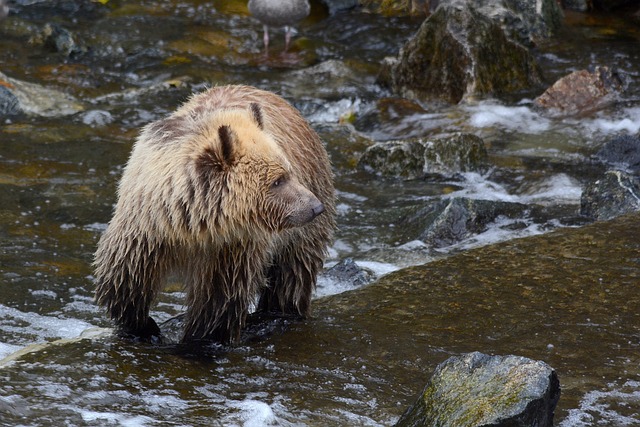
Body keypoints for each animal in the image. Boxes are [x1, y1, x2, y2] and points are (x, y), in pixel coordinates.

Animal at [96, 85, 336, 346]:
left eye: (289, 171)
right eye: (278, 180)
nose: (315, 207)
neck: (192, 224)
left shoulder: (230, 248)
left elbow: (217, 300)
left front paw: (201, 337)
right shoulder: (147, 231)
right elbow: (126, 279)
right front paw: (143, 326)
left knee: (292, 275)